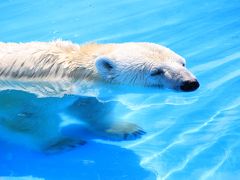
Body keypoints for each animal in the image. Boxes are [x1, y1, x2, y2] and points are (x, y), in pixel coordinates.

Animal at [0, 40, 199, 152]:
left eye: (182, 63)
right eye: (156, 71)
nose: (190, 83)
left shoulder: (81, 92)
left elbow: (90, 107)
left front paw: (124, 130)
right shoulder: (27, 97)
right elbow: (25, 121)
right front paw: (62, 142)